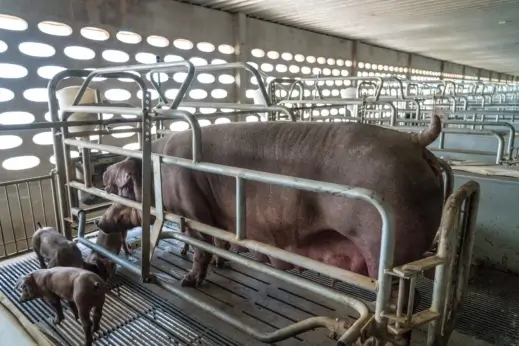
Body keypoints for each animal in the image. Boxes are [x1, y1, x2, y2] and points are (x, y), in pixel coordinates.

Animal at [101, 116, 442, 286]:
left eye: (121, 190)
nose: (102, 223)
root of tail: (415, 140)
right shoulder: (220, 217)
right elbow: (220, 244)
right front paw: (224, 263)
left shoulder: (195, 212)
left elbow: (202, 249)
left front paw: (189, 281)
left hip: (391, 245)